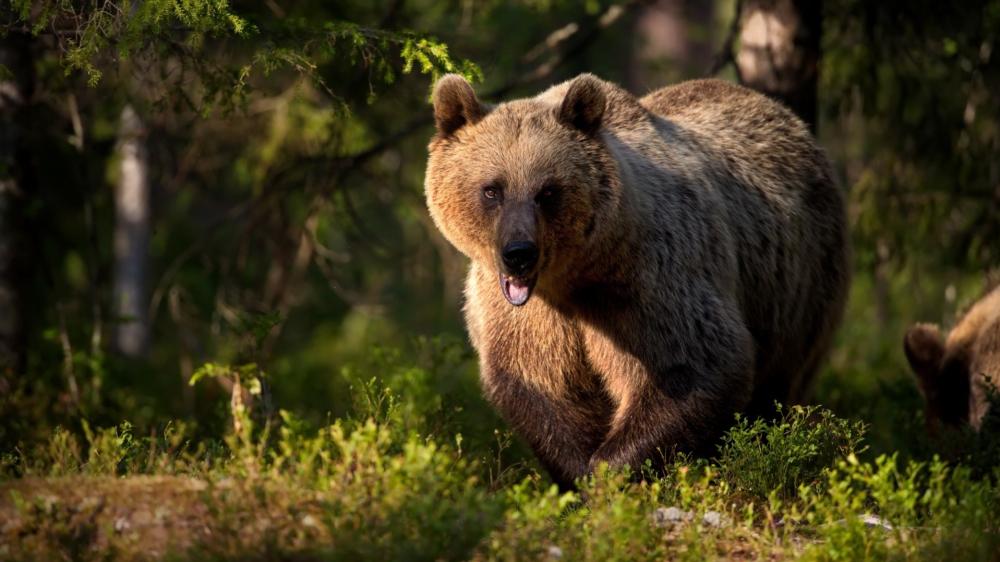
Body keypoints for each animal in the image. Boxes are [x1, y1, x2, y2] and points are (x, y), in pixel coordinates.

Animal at [424, 73, 850, 488]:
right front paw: (579, 473)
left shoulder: (649, 280)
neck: (574, 277)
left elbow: (692, 366)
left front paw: (610, 472)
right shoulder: (528, 317)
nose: (519, 252)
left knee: (777, 388)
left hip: (800, 290)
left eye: (548, 191)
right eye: (492, 189)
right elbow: (539, 382)